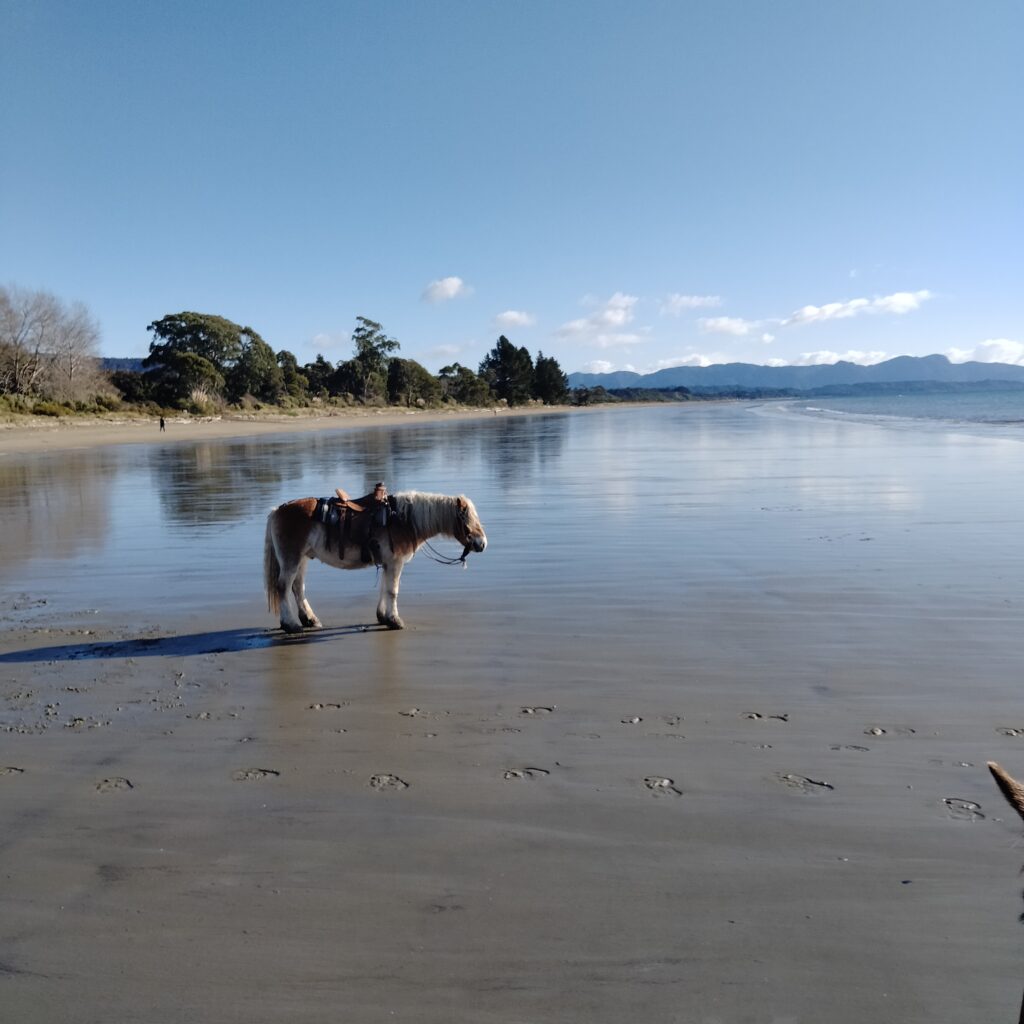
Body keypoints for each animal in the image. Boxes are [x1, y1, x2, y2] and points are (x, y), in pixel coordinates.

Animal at [264, 483, 487, 626]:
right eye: (467, 519)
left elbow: (384, 588)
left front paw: (383, 617)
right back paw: (290, 624)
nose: (482, 543)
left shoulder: (388, 563)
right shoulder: (396, 562)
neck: (401, 519)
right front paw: (395, 620)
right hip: (291, 559)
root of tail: (277, 510)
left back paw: (310, 619)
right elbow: (393, 591)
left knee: (298, 588)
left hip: (301, 559)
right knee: (283, 587)